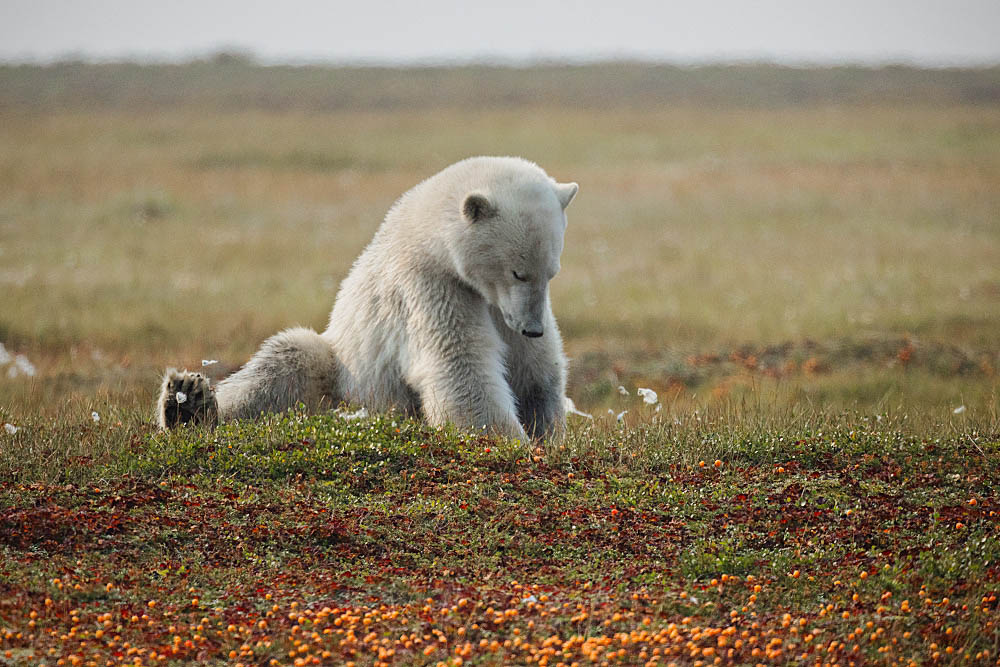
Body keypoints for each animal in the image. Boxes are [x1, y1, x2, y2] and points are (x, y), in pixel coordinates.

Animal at [157, 157, 580, 444]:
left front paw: (544, 430)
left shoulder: (505, 308)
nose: (532, 328)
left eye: (552, 271)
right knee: (287, 363)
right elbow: (460, 367)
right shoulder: (429, 286)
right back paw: (188, 404)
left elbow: (538, 372)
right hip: (344, 375)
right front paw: (510, 442)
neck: (431, 240)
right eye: (518, 272)